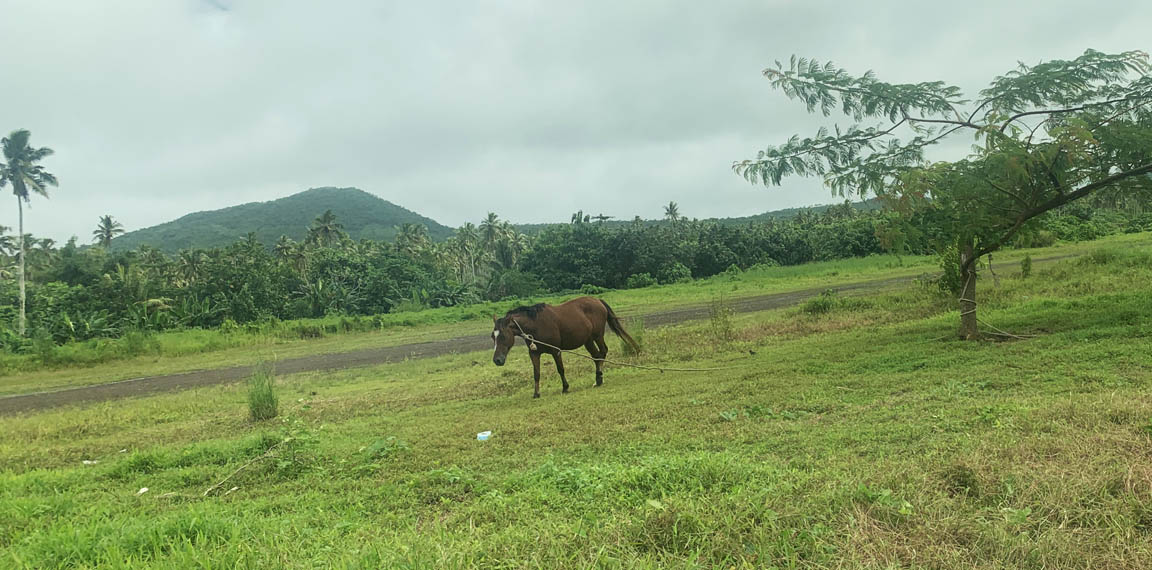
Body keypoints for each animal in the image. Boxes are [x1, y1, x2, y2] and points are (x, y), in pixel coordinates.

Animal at [492, 296, 639, 398]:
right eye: (493, 337)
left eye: (503, 336)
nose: (497, 360)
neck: (536, 324)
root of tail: (597, 300)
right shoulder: (534, 353)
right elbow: (536, 373)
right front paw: (536, 393)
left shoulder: (555, 350)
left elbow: (560, 369)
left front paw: (565, 387)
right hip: (588, 341)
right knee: (596, 356)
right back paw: (598, 380)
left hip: (598, 336)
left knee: (602, 352)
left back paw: (599, 378)